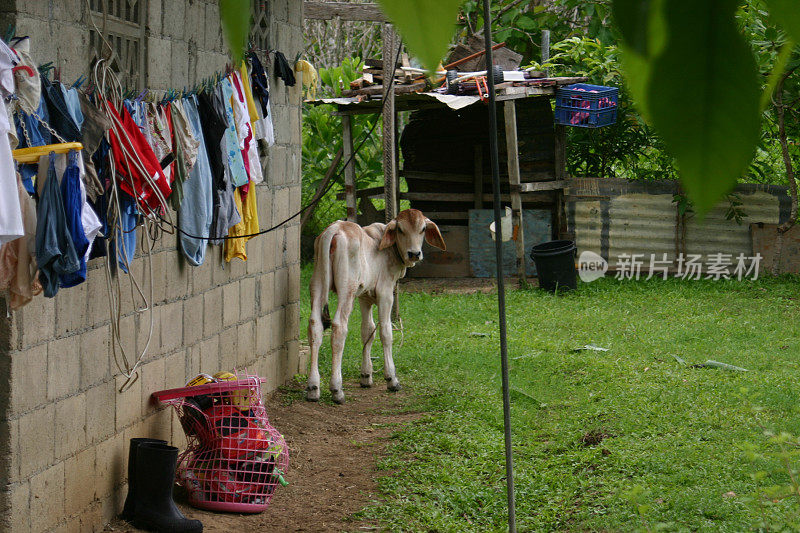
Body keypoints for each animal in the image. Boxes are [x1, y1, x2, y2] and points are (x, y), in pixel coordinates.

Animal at [306, 208, 446, 404]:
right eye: (400, 229)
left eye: (423, 229)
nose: (414, 253)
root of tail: (334, 229)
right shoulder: (385, 293)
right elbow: (385, 332)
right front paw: (391, 379)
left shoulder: (364, 297)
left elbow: (367, 331)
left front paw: (366, 376)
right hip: (346, 290)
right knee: (339, 328)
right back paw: (337, 389)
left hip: (317, 284)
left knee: (315, 326)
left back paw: (313, 387)